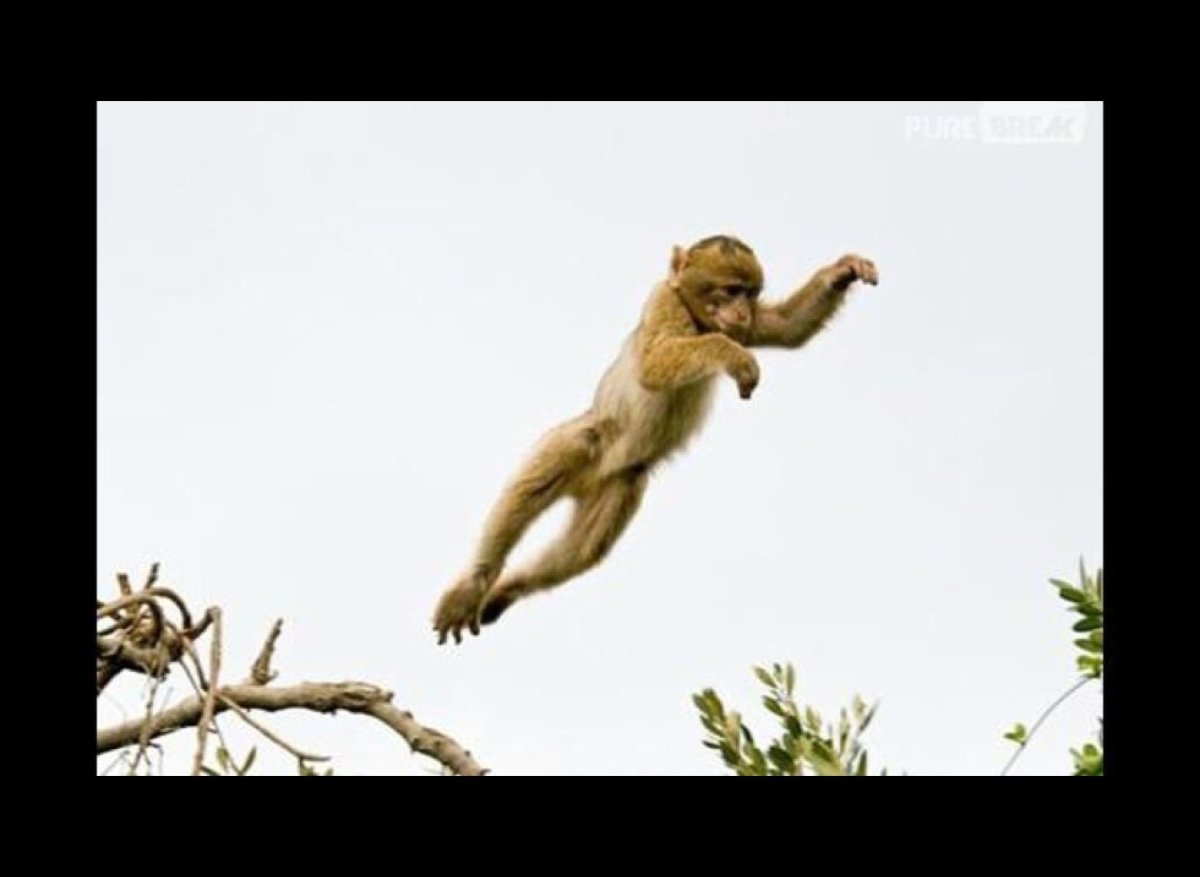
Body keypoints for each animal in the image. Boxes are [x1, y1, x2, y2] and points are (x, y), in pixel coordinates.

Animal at [433, 235, 879, 644]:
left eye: (750, 294)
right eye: (730, 290)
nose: (740, 310)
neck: (698, 319)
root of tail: (594, 475)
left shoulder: (742, 326)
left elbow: (785, 328)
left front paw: (841, 271)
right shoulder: (665, 301)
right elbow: (655, 362)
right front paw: (730, 353)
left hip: (621, 482)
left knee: (583, 549)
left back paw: (506, 590)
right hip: (590, 439)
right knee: (547, 473)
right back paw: (476, 581)